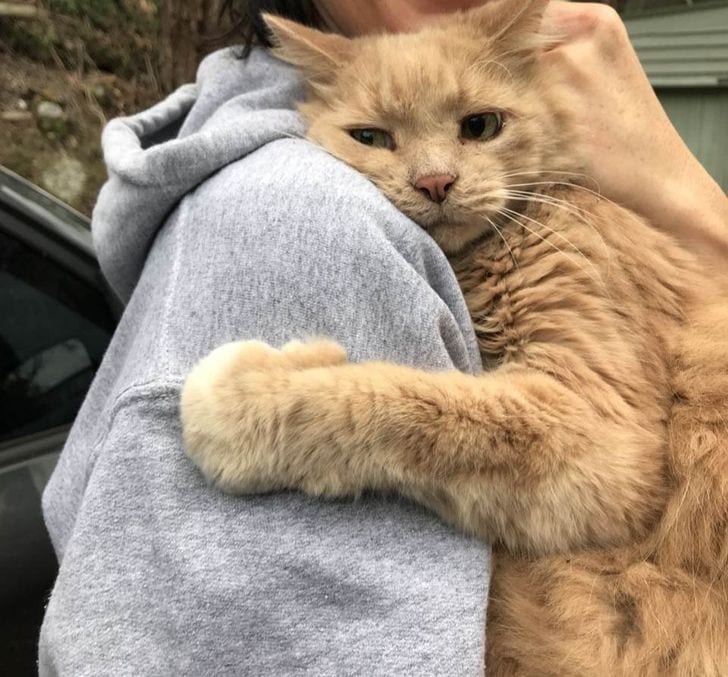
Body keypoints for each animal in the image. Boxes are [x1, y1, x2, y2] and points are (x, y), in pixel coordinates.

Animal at [178, 2, 728, 672]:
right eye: (371, 138)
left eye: (480, 125)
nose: (436, 182)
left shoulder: (603, 436)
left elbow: (404, 404)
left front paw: (247, 402)